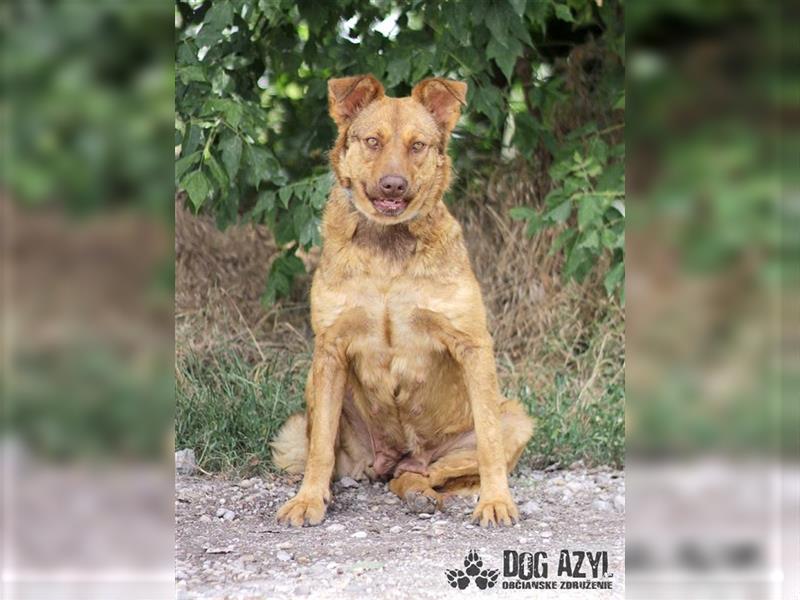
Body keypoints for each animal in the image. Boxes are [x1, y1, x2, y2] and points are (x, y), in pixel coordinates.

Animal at [272, 76, 536, 528]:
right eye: (373, 141)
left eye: (418, 145)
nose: (393, 184)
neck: (388, 247)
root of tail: (397, 457)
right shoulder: (330, 349)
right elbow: (320, 444)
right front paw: (308, 500)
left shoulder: (472, 344)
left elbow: (489, 443)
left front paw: (496, 501)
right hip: (314, 390)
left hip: (514, 418)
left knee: (428, 471)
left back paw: (421, 491)